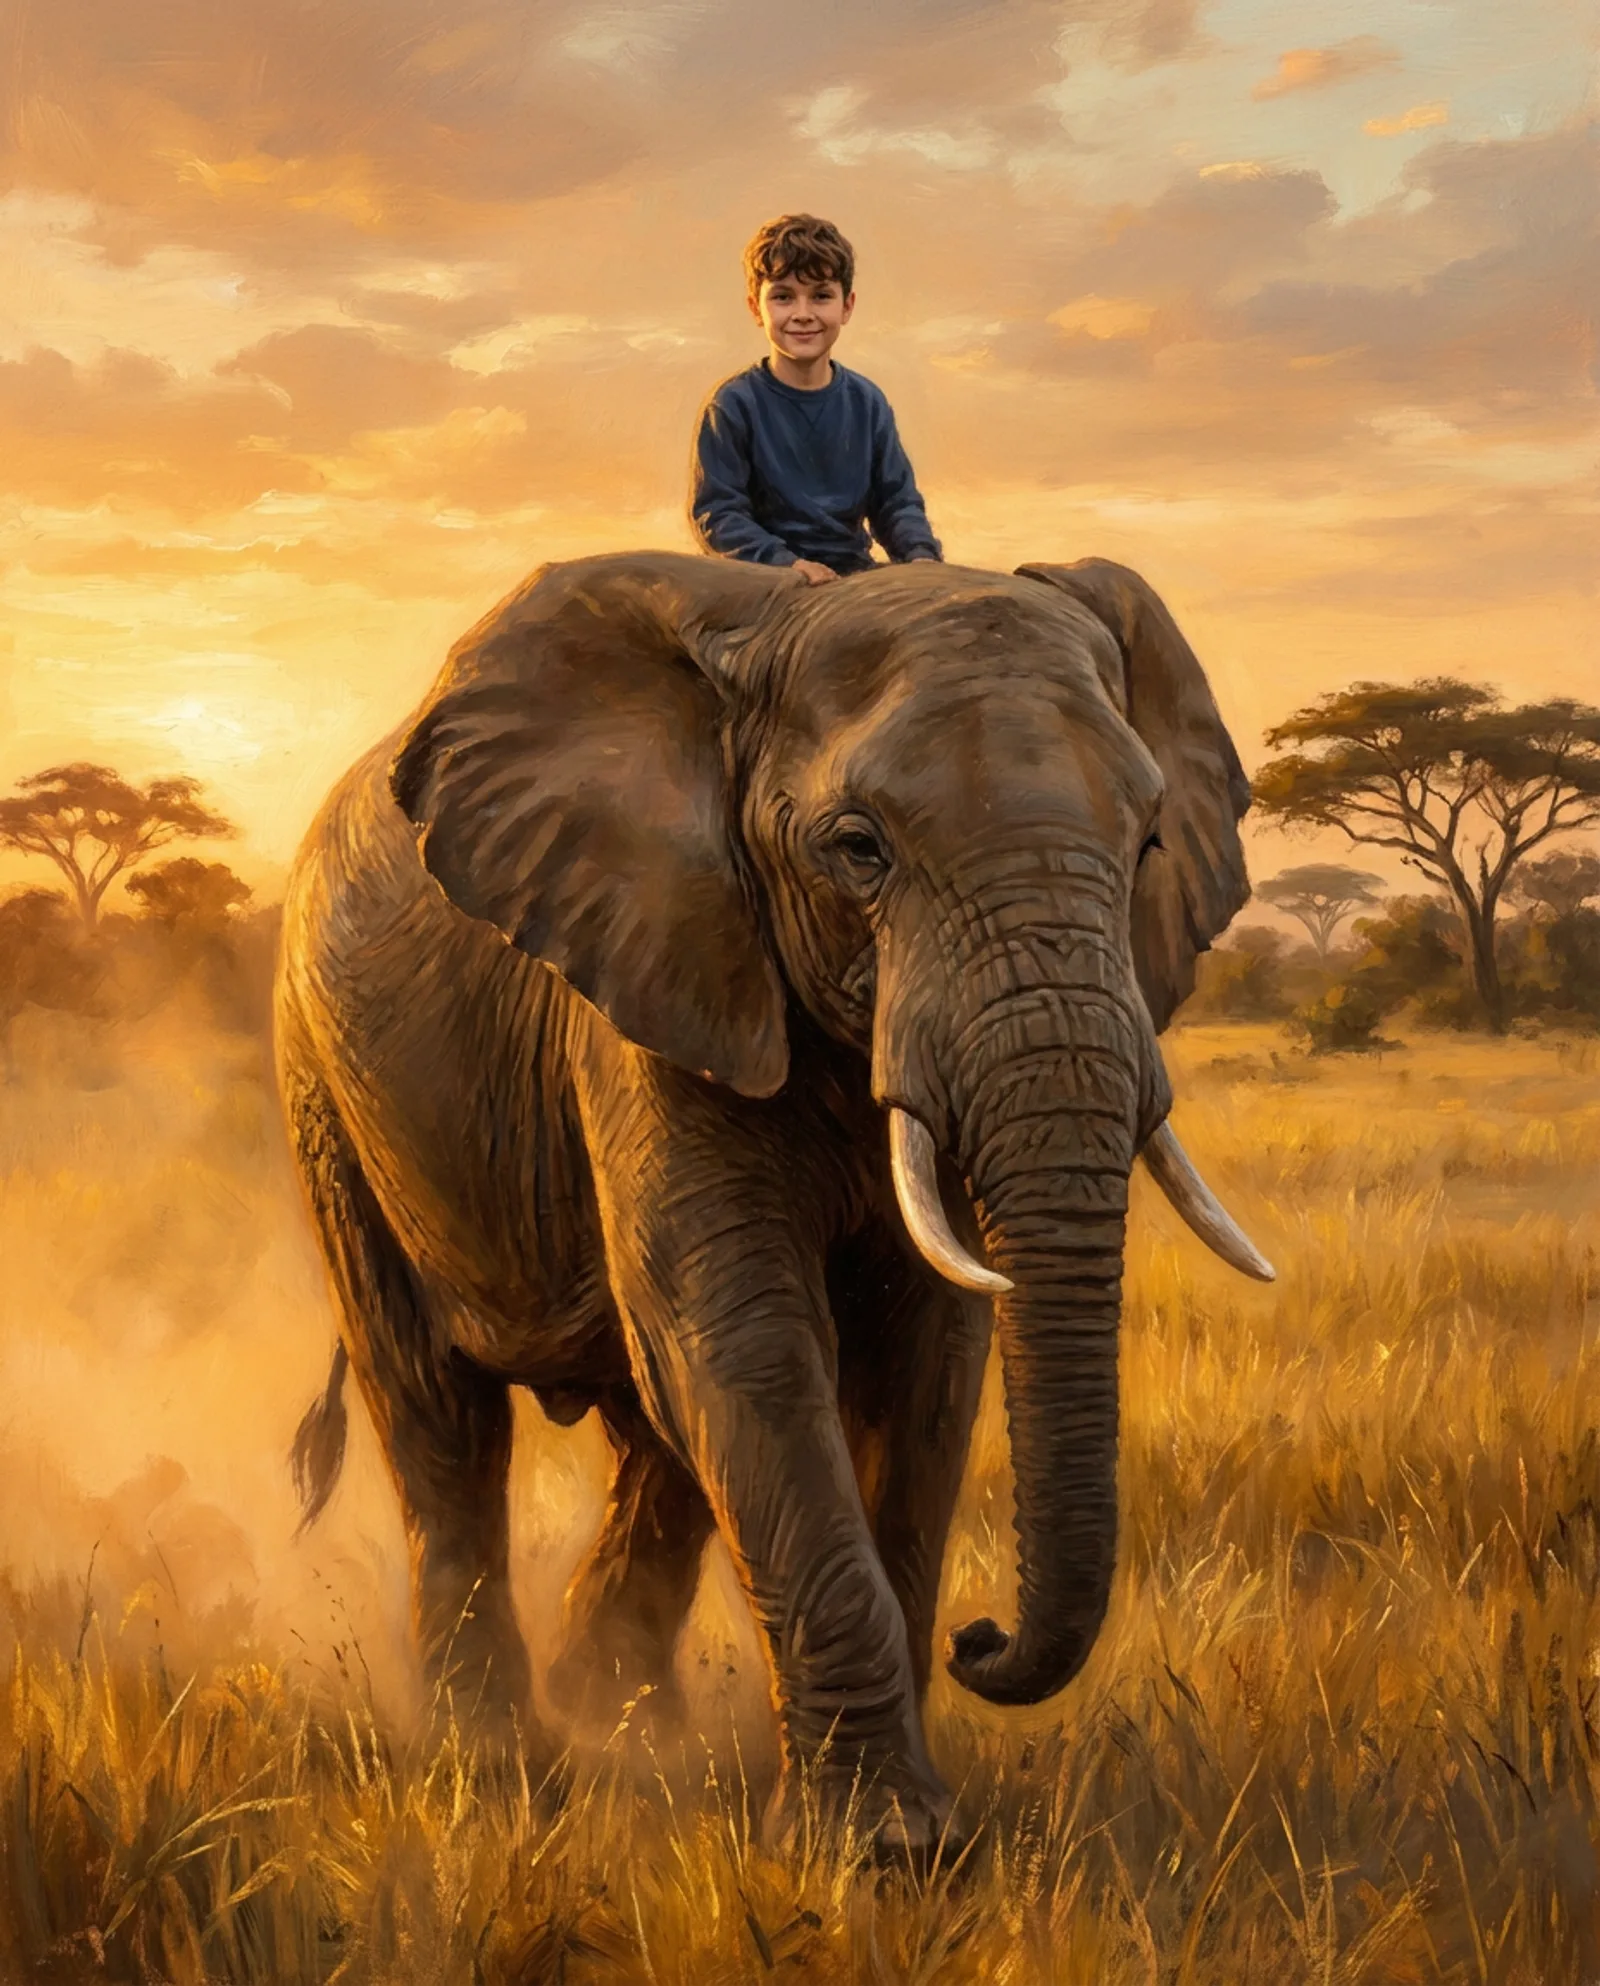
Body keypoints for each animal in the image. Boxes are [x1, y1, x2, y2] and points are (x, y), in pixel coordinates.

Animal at [277, 549, 1271, 1859]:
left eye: (1149, 839)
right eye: (858, 848)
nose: (982, 1639)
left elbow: (926, 1363)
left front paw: (915, 1828)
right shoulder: (652, 973)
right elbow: (740, 1339)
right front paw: (884, 1851)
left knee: (651, 1436)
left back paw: (626, 1727)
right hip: (325, 1083)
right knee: (436, 1410)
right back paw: (498, 1762)